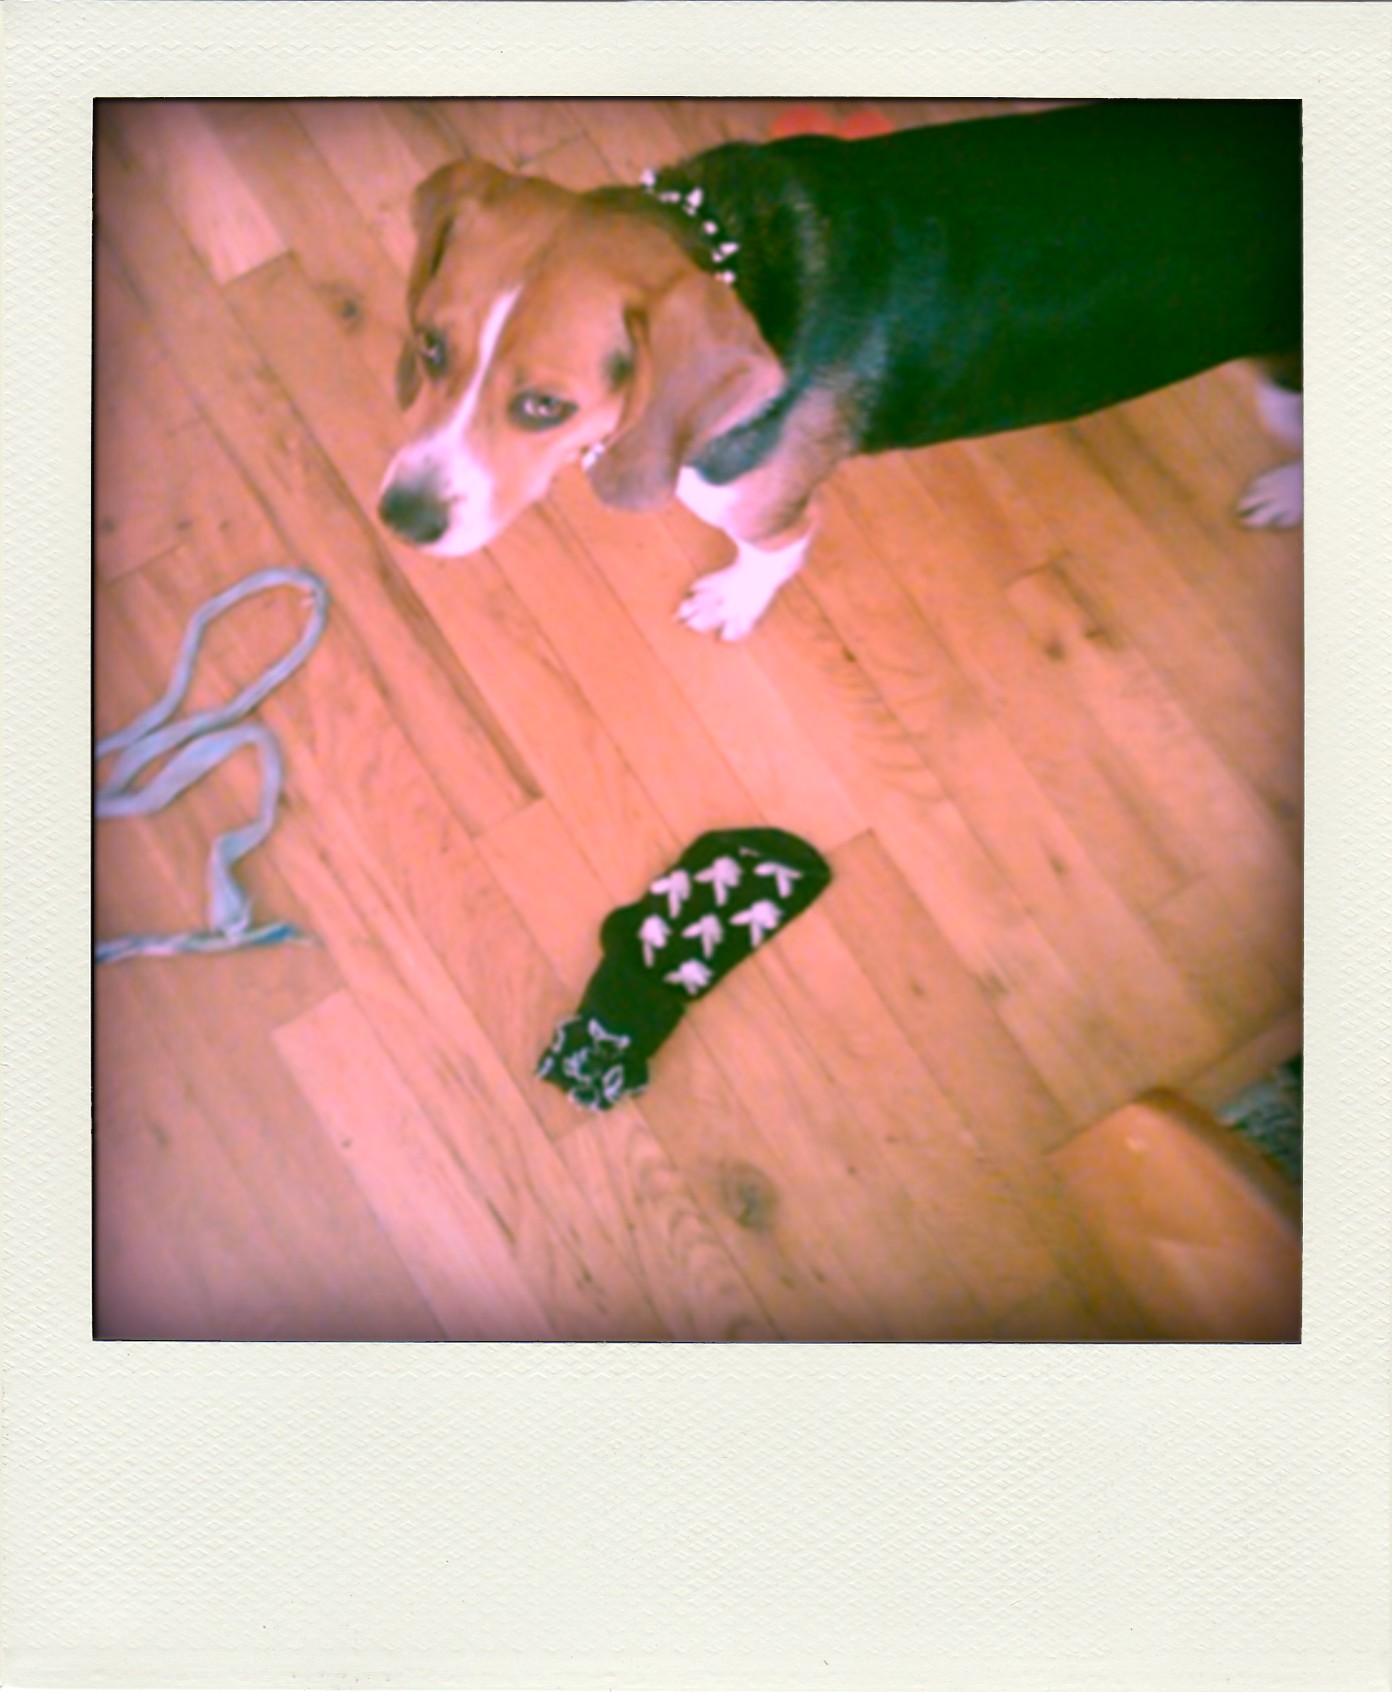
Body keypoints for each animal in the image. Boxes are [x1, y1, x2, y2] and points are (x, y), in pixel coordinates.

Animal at [375, 100, 1298, 639]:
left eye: (544, 406)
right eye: (429, 347)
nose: (401, 520)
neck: (733, 253)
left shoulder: (767, 512)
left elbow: (773, 557)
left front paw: (733, 601)